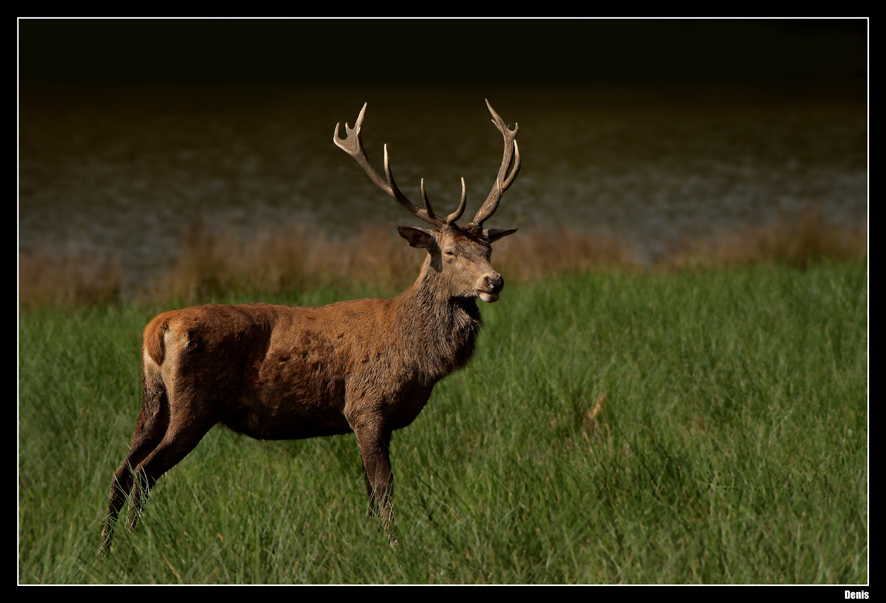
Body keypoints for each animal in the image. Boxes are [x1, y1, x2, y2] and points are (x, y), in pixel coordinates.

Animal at [99, 100, 520, 556]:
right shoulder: (366, 405)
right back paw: (133, 542)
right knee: (143, 471)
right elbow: (385, 492)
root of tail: (158, 328)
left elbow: (370, 496)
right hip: (195, 404)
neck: (415, 356)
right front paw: (394, 547)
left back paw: (105, 548)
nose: (493, 282)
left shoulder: (369, 420)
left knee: (121, 470)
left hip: (153, 401)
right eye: (449, 251)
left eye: (488, 247)